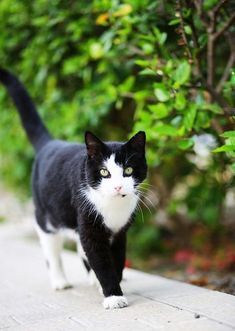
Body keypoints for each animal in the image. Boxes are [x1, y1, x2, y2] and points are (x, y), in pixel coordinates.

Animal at [0, 68, 147, 310]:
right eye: (104, 172)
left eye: (128, 170)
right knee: (51, 248)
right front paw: (113, 296)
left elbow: (115, 260)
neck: (112, 205)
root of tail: (50, 143)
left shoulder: (120, 232)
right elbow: (99, 259)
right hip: (45, 216)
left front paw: (110, 286)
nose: (118, 186)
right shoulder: (87, 222)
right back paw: (60, 281)